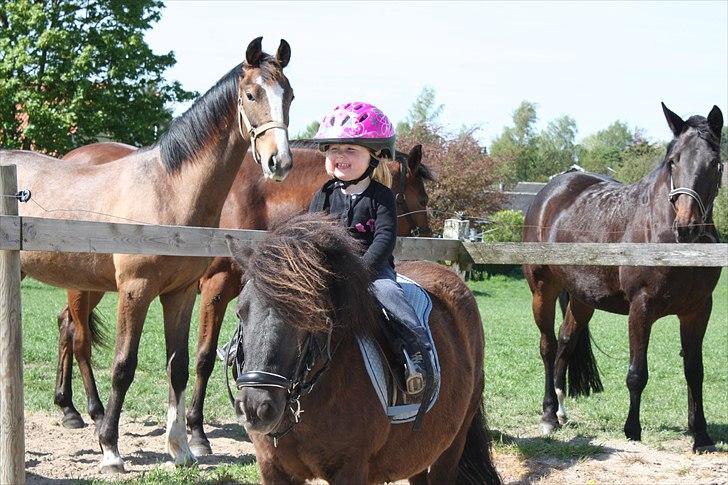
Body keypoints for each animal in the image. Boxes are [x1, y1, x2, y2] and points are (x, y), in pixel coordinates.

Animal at [1, 39, 296, 470]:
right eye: (250, 94)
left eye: (288, 95)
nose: (280, 161)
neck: (169, 189)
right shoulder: (136, 290)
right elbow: (124, 366)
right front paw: (110, 449)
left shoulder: (181, 294)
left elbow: (180, 366)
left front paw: (182, 448)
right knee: (79, 341)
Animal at [55, 139, 432, 454]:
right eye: (423, 200)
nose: (428, 241)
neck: (255, 200)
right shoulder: (215, 288)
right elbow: (205, 358)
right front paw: (197, 432)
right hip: (85, 284)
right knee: (78, 336)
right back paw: (93, 411)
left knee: (65, 326)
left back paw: (68, 407)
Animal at [228, 216, 500, 484]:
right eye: (240, 311)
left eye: (309, 317)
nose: (255, 407)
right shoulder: (272, 468)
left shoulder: (350, 469)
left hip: (453, 442)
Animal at [524, 104, 724, 452]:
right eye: (673, 161)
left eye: (714, 162)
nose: (686, 225)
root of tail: (550, 191)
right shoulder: (641, 308)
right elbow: (637, 373)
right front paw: (632, 430)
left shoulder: (698, 309)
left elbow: (694, 371)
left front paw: (701, 435)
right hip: (542, 289)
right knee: (548, 346)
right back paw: (548, 414)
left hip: (581, 298)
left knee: (566, 341)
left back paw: (561, 412)